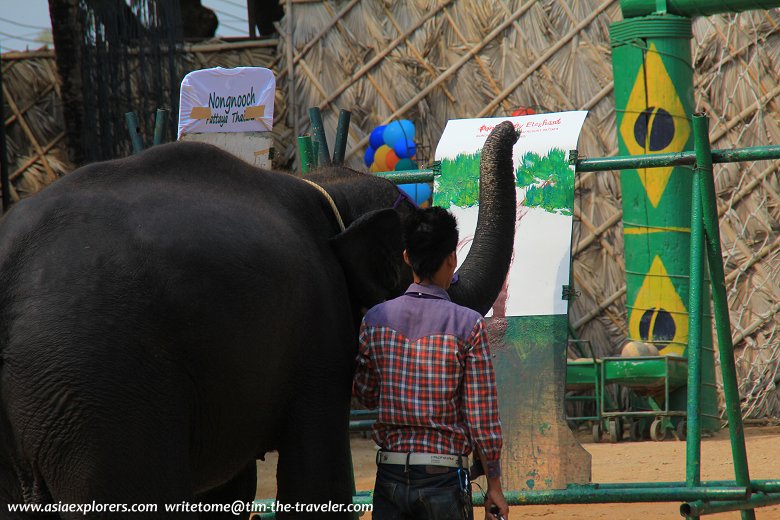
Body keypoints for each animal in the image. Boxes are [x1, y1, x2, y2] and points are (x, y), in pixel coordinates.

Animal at [0, 121, 520, 516]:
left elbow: (229, 491)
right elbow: (317, 480)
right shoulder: (318, 331)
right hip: (101, 393)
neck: (324, 188)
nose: (511, 129)